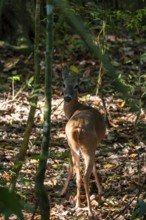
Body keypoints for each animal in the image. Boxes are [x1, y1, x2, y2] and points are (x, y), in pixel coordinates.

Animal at [60, 66, 106, 216]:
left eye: (76, 85)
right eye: (63, 84)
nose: (67, 97)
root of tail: (78, 129)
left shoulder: (71, 145)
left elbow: (71, 167)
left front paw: (63, 192)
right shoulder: (95, 144)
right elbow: (95, 168)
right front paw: (100, 190)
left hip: (75, 146)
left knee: (79, 176)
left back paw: (78, 205)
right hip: (88, 146)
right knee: (85, 175)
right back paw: (90, 210)